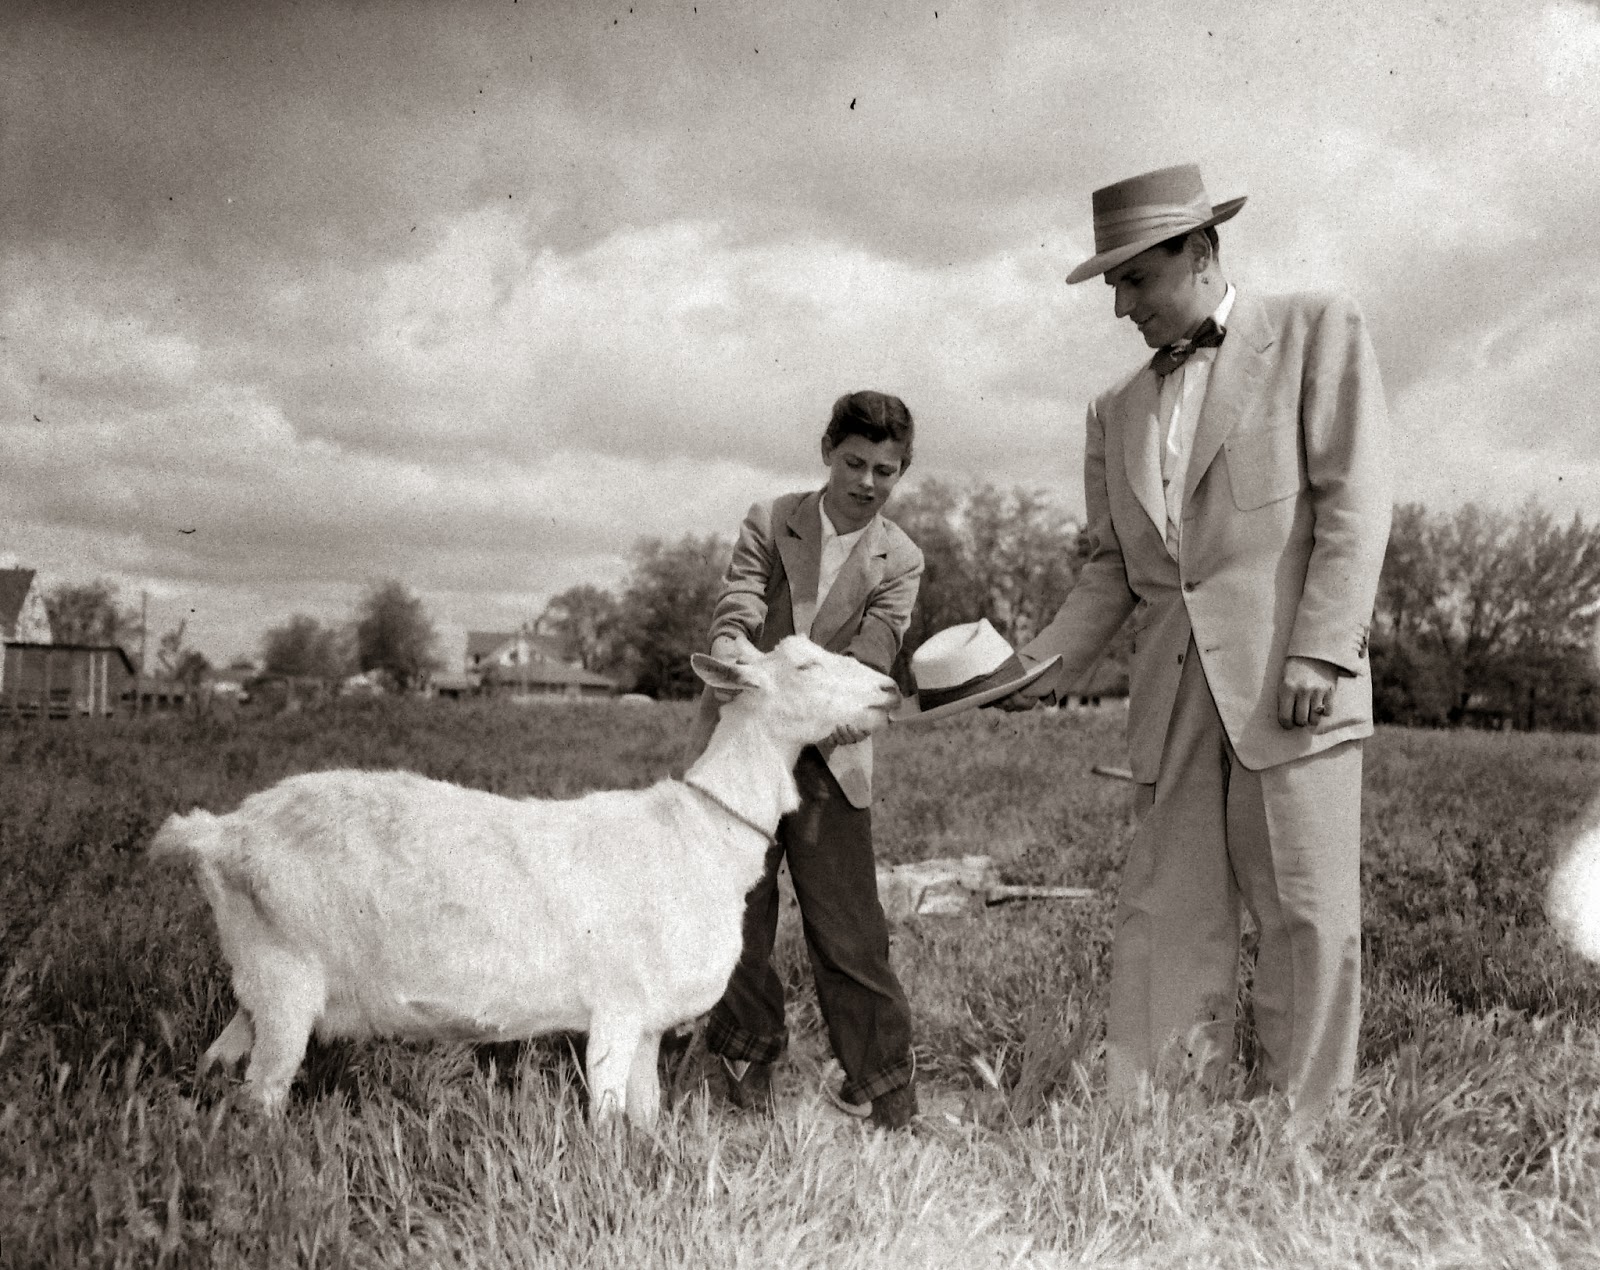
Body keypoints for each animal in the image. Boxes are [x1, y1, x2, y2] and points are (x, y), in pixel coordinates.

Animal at [150, 639, 902, 1126]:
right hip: (286, 975)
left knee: (218, 1066)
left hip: (257, 981)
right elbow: (605, 1116)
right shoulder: (616, 1005)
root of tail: (223, 832)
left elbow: (645, 1116)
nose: (890, 688)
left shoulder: (649, 1020)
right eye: (804, 663)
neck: (696, 832)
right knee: (262, 1093)